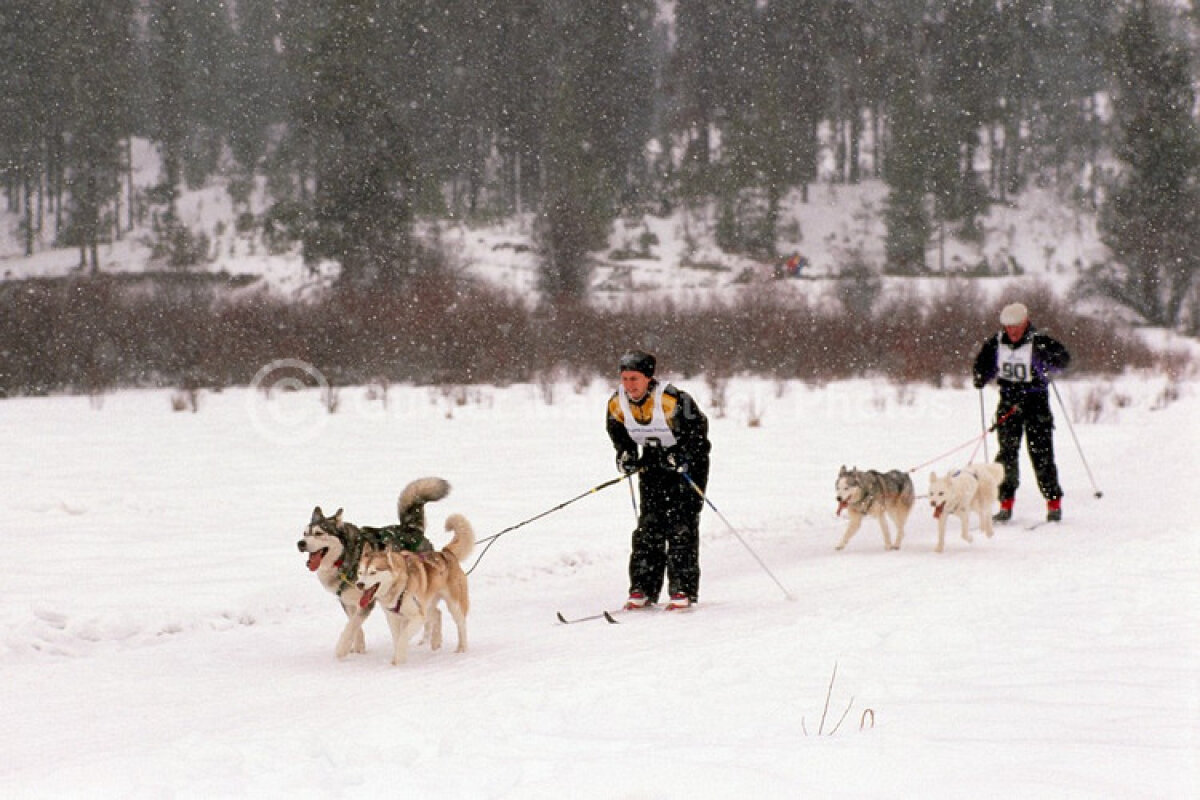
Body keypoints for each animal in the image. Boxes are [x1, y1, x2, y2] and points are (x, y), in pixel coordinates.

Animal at [297, 479, 451, 662]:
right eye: (304, 533)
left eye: (319, 533)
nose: (300, 543)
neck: (345, 557)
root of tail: (411, 529)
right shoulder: (347, 601)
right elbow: (354, 625)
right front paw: (358, 648)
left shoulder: (367, 601)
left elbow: (351, 625)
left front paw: (341, 649)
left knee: (434, 613)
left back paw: (432, 641)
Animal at [355, 515, 472, 666]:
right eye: (360, 572)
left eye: (373, 572)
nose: (359, 584)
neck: (399, 588)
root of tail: (446, 553)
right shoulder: (393, 618)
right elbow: (397, 639)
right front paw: (398, 659)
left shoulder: (417, 617)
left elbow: (403, 638)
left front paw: (398, 661)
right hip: (428, 604)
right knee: (437, 614)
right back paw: (435, 641)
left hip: (454, 605)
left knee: (461, 624)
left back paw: (462, 648)